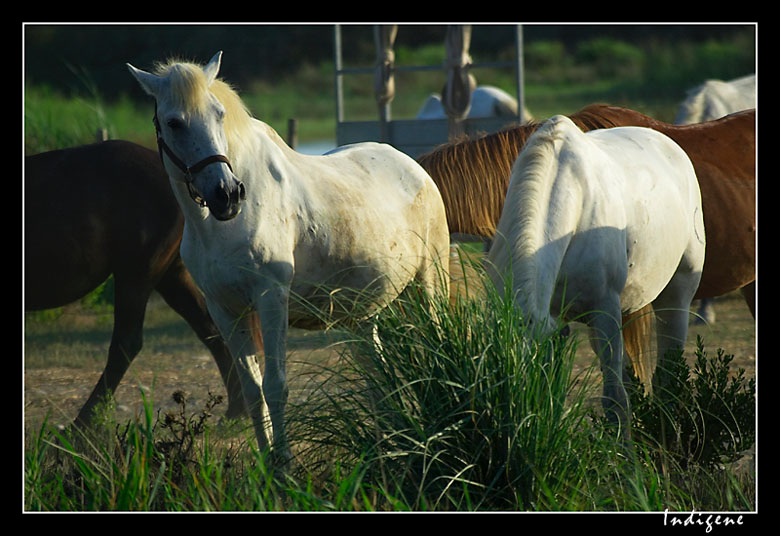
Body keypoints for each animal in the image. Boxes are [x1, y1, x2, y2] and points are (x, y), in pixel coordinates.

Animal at [24, 139, 250, 428]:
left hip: (136, 273)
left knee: (126, 342)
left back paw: (81, 426)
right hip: (170, 275)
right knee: (210, 330)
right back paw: (236, 411)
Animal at [125, 51, 448, 460]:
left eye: (219, 114)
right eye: (173, 122)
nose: (227, 194)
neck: (220, 227)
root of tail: (415, 168)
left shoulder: (271, 299)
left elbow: (276, 386)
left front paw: (283, 466)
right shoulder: (225, 310)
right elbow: (253, 391)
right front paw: (266, 464)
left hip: (429, 285)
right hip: (362, 315)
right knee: (378, 374)